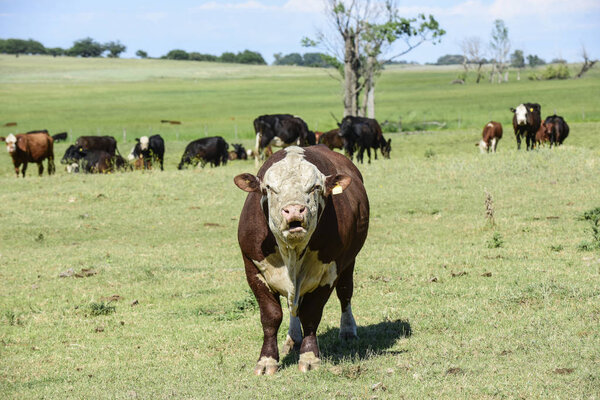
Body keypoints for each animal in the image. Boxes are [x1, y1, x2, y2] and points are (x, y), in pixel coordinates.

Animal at [234, 145, 370, 376]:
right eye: (269, 188)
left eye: (315, 187)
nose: (294, 210)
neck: (291, 252)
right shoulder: (253, 269)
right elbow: (271, 316)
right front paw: (267, 360)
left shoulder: (328, 272)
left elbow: (311, 314)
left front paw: (309, 357)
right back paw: (293, 338)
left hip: (348, 263)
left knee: (345, 294)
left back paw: (348, 330)